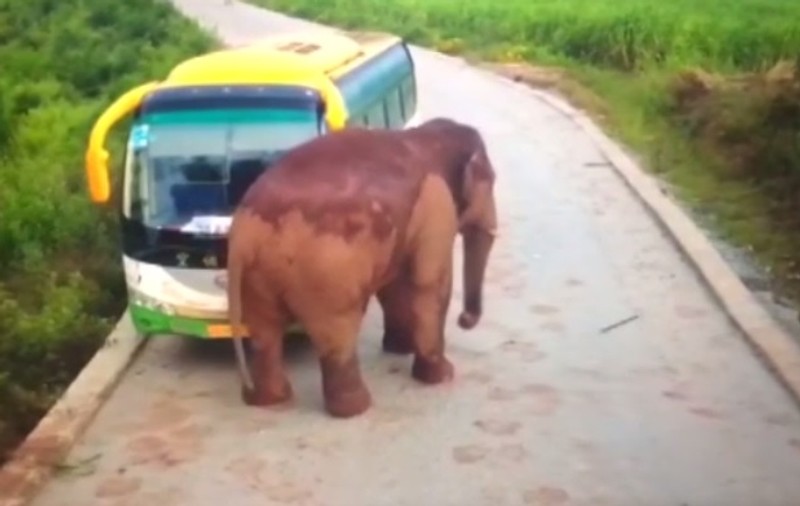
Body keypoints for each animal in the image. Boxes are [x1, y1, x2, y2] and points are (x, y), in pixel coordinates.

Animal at [226, 117, 498, 418]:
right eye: (492, 180)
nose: (465, 320)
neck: (428, 136)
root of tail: (244, 236)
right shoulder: (436, 204)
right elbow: (430, 283)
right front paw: (442, 376)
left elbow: (395, 284)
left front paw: (399, 349)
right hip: (327, 275)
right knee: (338, 329)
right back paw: (356, 408)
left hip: (255, 277)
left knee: (264, 330)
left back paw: (269, 400)